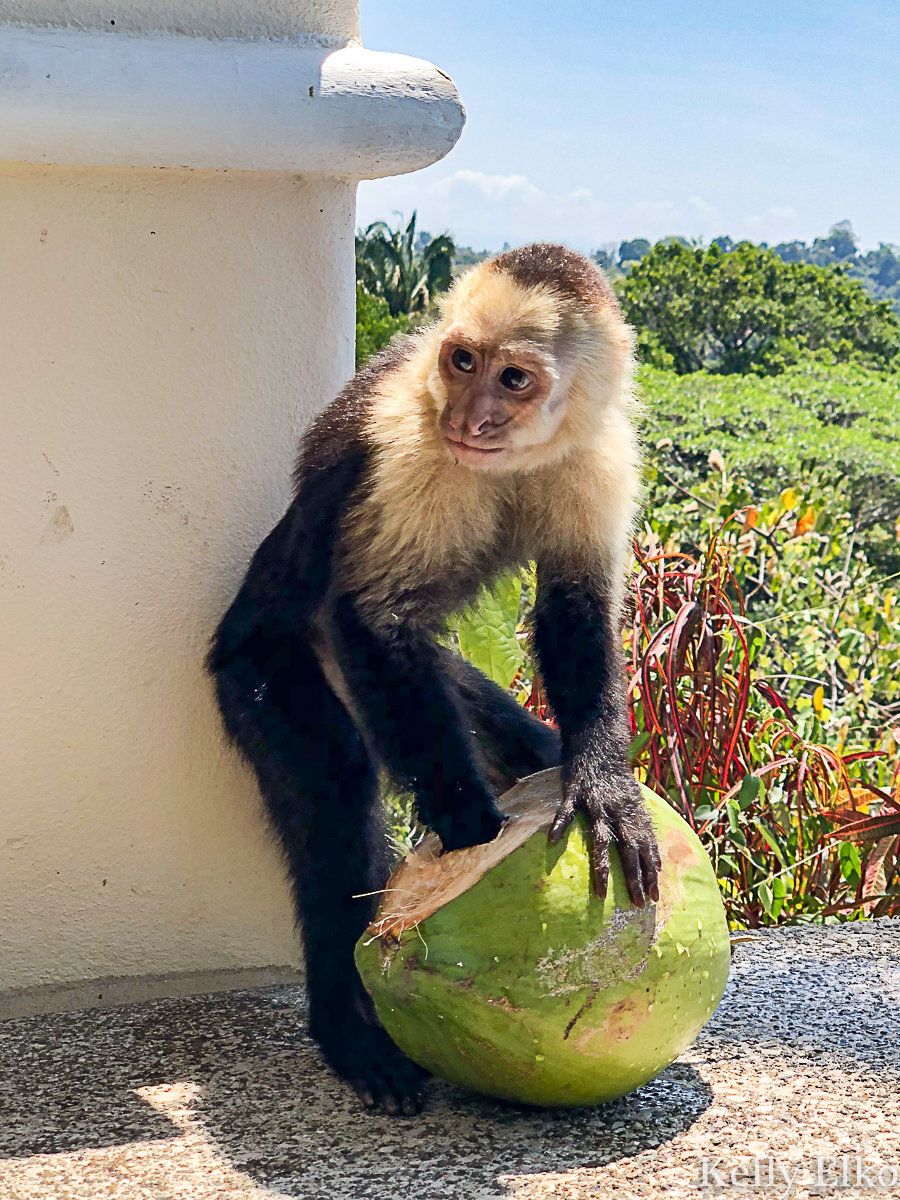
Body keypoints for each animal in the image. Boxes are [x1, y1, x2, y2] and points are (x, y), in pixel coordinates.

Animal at [210, 241, 662, 1113]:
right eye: (461, 361)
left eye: (513, 378)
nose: (469, 419)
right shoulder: (410, 442)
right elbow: (372, 618)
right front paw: (469, 837)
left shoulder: (600, 453)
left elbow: (576, 608)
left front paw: (601, 782)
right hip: (256, 675)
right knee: (336, 790)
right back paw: (348, 1029)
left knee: (512, 736)